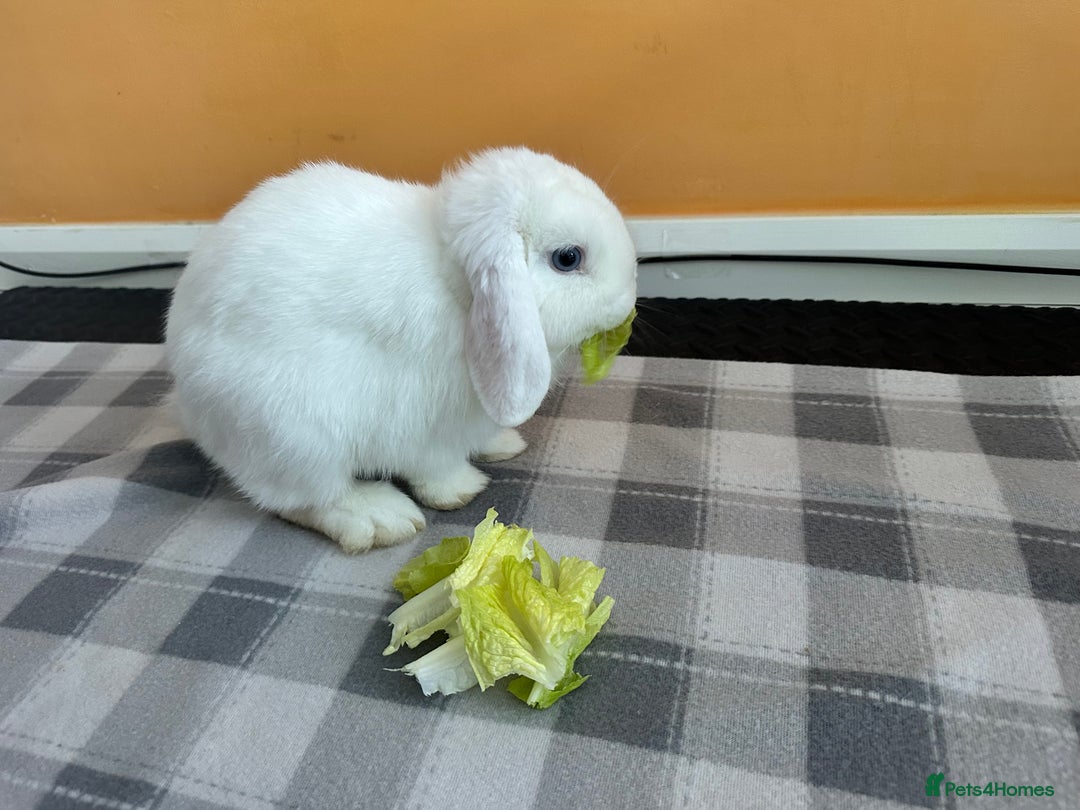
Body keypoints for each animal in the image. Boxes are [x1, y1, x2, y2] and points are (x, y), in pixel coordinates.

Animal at [165, 146, 638, 553]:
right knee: (298, 498)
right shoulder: (422, 424)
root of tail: (188, 405)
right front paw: (463, 490)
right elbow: (435, 468)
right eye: (568, 258)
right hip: (291, 434)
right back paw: (380, 519)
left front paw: (502, 443)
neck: (456, 288)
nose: (627, 300)